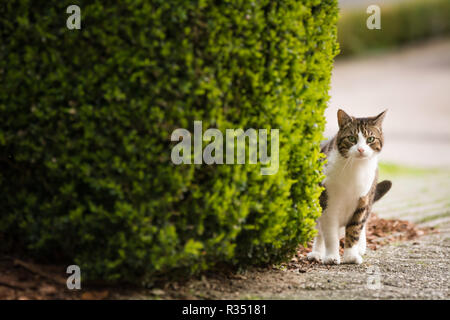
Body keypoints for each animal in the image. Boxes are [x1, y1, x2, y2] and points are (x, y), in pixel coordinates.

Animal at [308, 109, 392, 264]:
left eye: (370, 139)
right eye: (352, 138)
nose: (360, 149)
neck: (355, 168)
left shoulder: (363, 201)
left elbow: (355, 229)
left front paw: (351, 256)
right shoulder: (328, 203)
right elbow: (330, 233)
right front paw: (331, 256)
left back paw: (361, 247)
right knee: (319, 231)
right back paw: (317, 253)